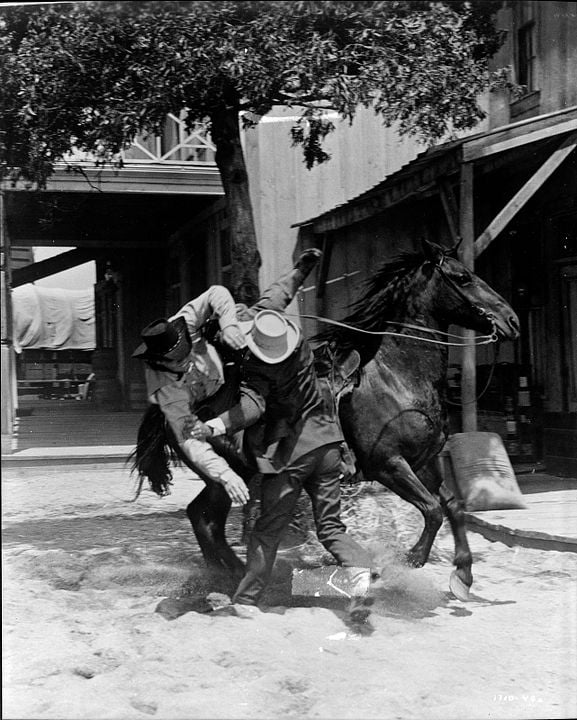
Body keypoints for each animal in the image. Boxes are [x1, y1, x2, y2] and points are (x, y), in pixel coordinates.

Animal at [132, 240, 516, 596]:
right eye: (463, 277)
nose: (511, 320)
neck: (398, 377)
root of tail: (178, 412)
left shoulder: (427, 461)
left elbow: (453, 507)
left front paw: (462, 574)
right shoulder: (388, 464)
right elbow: (433, 509)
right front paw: (410, 560)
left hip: (226, 477)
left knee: (200, 516)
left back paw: (231, 572)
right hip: (228, 475)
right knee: (206, 519)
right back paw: (235, 574)